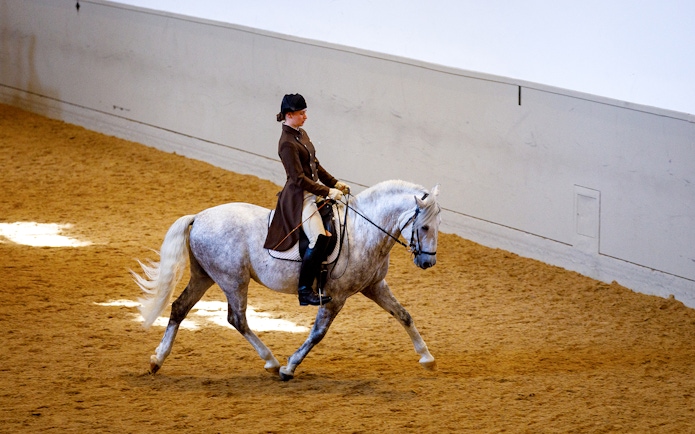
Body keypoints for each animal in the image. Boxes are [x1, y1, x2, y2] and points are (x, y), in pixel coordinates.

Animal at [133, 179, 441, 381]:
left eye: (437, 226)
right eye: (424, 227)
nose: (428, 262)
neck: (362, 230)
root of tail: (198, 217)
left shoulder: (374, 286)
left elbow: (404, 315)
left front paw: (427, 358)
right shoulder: (336, 297)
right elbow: (317, 334)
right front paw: (289, 368)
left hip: (205, 275)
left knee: (179, 308)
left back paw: (157, 360)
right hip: (233, 279)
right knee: (237, 319)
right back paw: (271, 362)